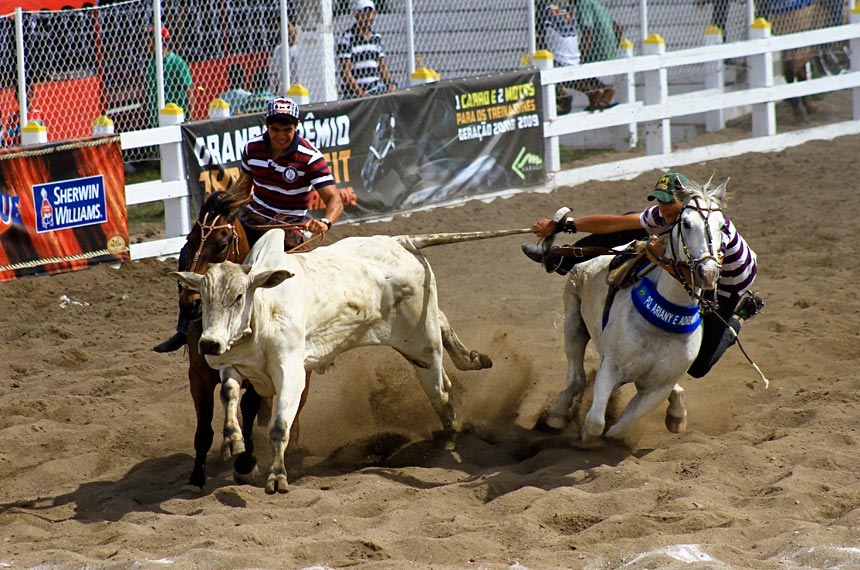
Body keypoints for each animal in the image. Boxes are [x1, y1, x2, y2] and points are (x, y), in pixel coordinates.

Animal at [175, 226, 524, 492]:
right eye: (205, 297)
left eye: (238, 297)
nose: (209, 343)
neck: (264, 308)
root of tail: (402, 241)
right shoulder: (234, 366)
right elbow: (229, 392)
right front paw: (233, 440)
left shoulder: (291, 373)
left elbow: (279, 425)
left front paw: (277, 477)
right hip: (421, 335)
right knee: (442, 327)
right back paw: (473, 359)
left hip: (423, 345)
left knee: (442, 393)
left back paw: (449, 439)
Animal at [544, 180, 724, 442]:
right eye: (687, 223)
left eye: (722, 226)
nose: (707, 272)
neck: (662, 324)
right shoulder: (611, 366)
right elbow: (596, 422)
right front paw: (584, 438)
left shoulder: (658, 388)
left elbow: (618, 429)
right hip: (574, 322)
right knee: (576, 379)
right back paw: (557, 415)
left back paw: (677, 415)